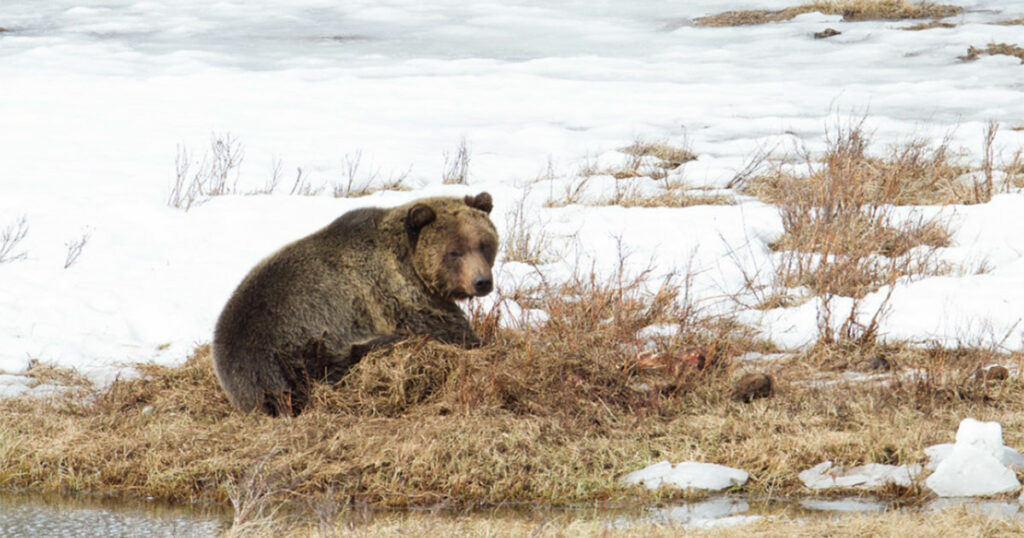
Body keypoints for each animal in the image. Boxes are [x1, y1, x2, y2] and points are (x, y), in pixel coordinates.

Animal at [211, 192, 498, 416]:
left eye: (484, 244)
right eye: (454, 252)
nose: (482, 281)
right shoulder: (398, 298)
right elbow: (446, 329)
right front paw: (479, 340)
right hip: (299, 346)